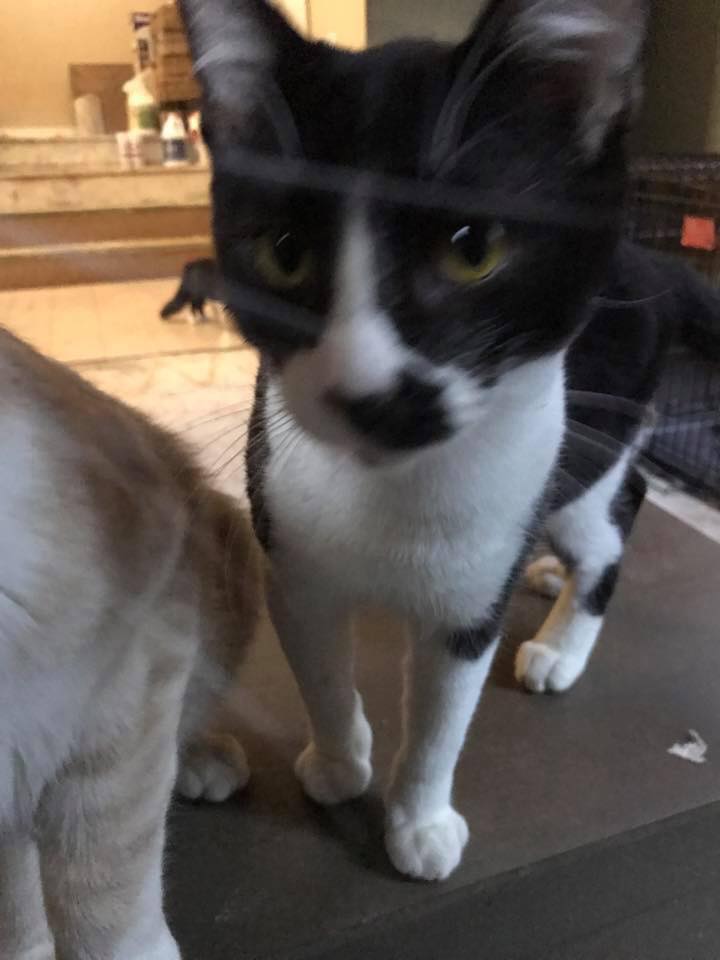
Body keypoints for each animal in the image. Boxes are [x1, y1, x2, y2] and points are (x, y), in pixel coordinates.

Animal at [180, 0, 704, 882]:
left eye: (473, 251)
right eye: (284, 254)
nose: (366, 392)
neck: (391, 490)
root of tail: (652, 261)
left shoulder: (469, 593)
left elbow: (441, 715)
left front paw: (419, 822)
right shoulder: (291, 552)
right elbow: (320, 669)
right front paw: (339, 760)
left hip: (595, 433)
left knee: (613, 510)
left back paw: (563, 638)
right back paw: (544, 573)